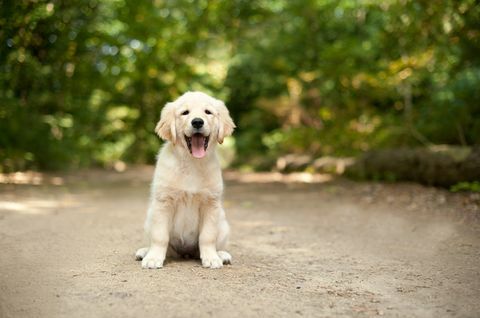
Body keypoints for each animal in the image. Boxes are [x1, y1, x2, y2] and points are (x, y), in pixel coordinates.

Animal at [134, 91, 235, 268]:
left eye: (208, 112)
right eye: (185, 113)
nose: (197, 122)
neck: (192, 163)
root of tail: (185, 253)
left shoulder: (211, 203)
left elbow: (208, 236)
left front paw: (211, 258)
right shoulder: (163, 202)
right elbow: (160, 236)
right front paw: (153, 258)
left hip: (223, 223)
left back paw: (222, 254)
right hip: (149, 218)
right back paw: (144, 252)